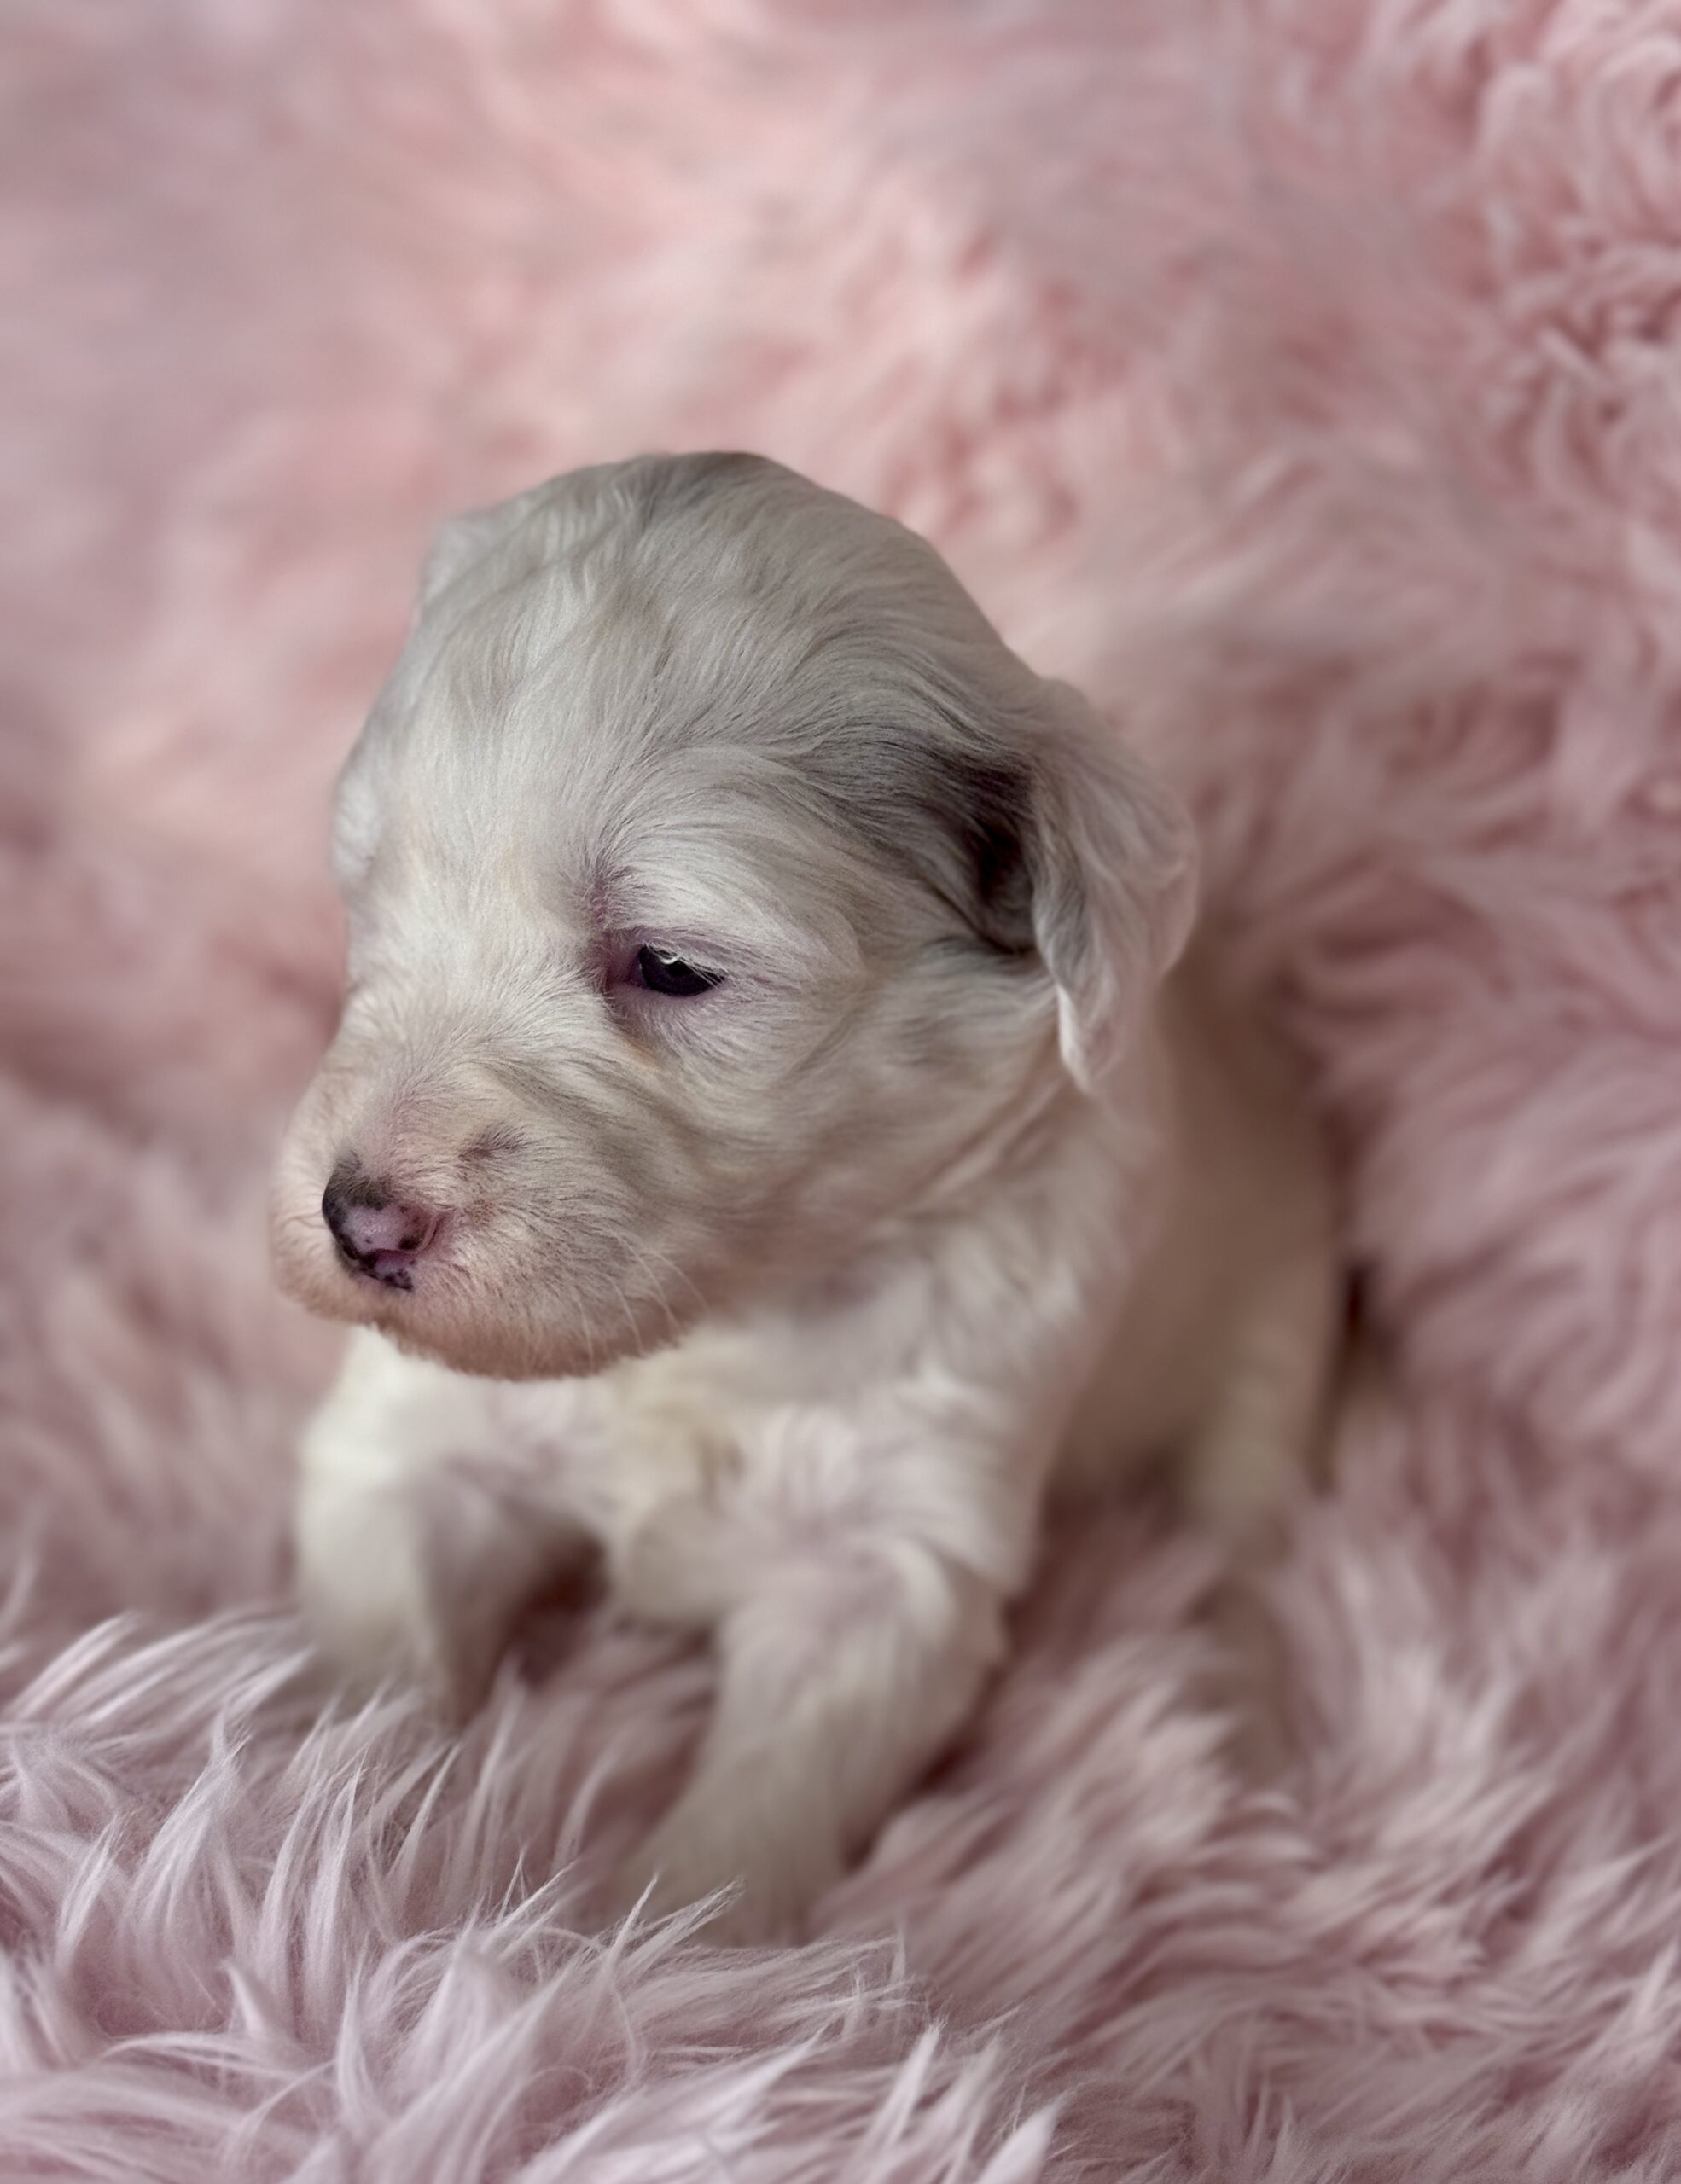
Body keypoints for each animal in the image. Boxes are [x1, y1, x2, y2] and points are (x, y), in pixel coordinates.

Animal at [271, 453, 1338, 1942]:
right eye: (370, 899)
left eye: (670, 964)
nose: (357, 1221)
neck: (719, 1332)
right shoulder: (418, 1441)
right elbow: (375, 1640)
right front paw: (332, 1825)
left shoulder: (891, 1550)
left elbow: (747, 1833)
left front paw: (645, 1961)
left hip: (1276, 1323)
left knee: (1239, 1527)